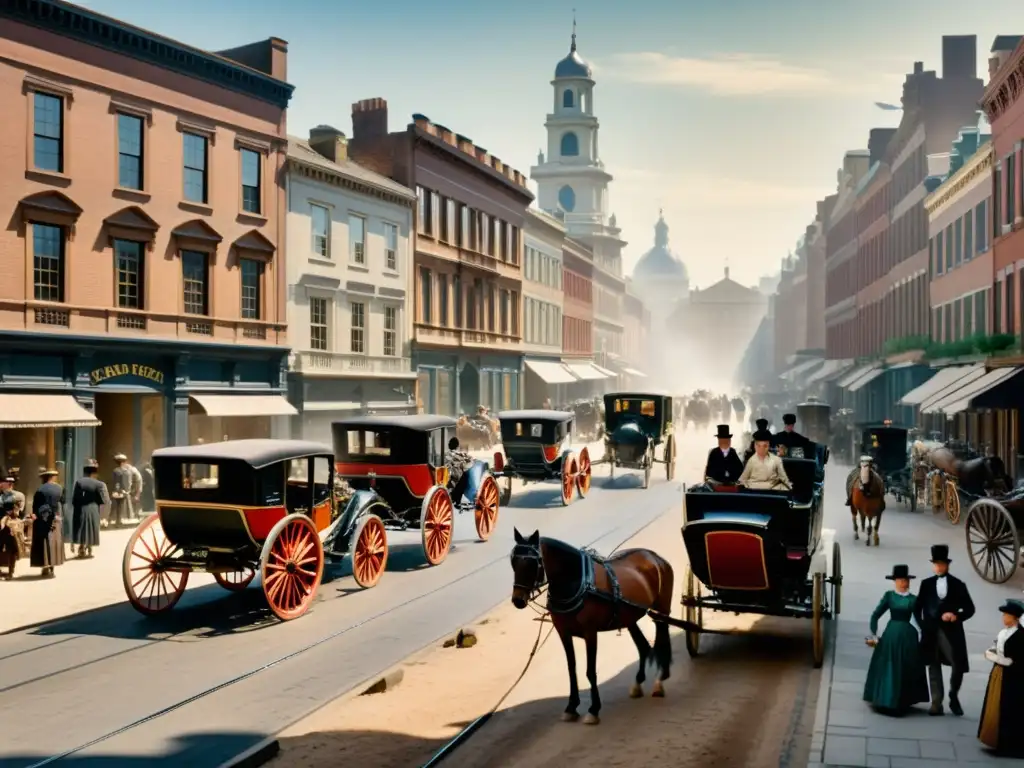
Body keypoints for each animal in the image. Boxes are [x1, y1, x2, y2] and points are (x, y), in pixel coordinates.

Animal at [509, 532, 671, 724]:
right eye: (513, 561)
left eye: (534, 563)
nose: (518, 600)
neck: (578, 582)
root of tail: (655, 557)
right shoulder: (563, 633)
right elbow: (571, 669)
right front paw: (571, 707)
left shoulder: (590, 633)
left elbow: (590, 671)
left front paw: (594, 709)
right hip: (630, 617)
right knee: (643, 646)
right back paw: (638, 683)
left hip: (661, 611)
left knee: (662, 641)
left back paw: (659, 681)